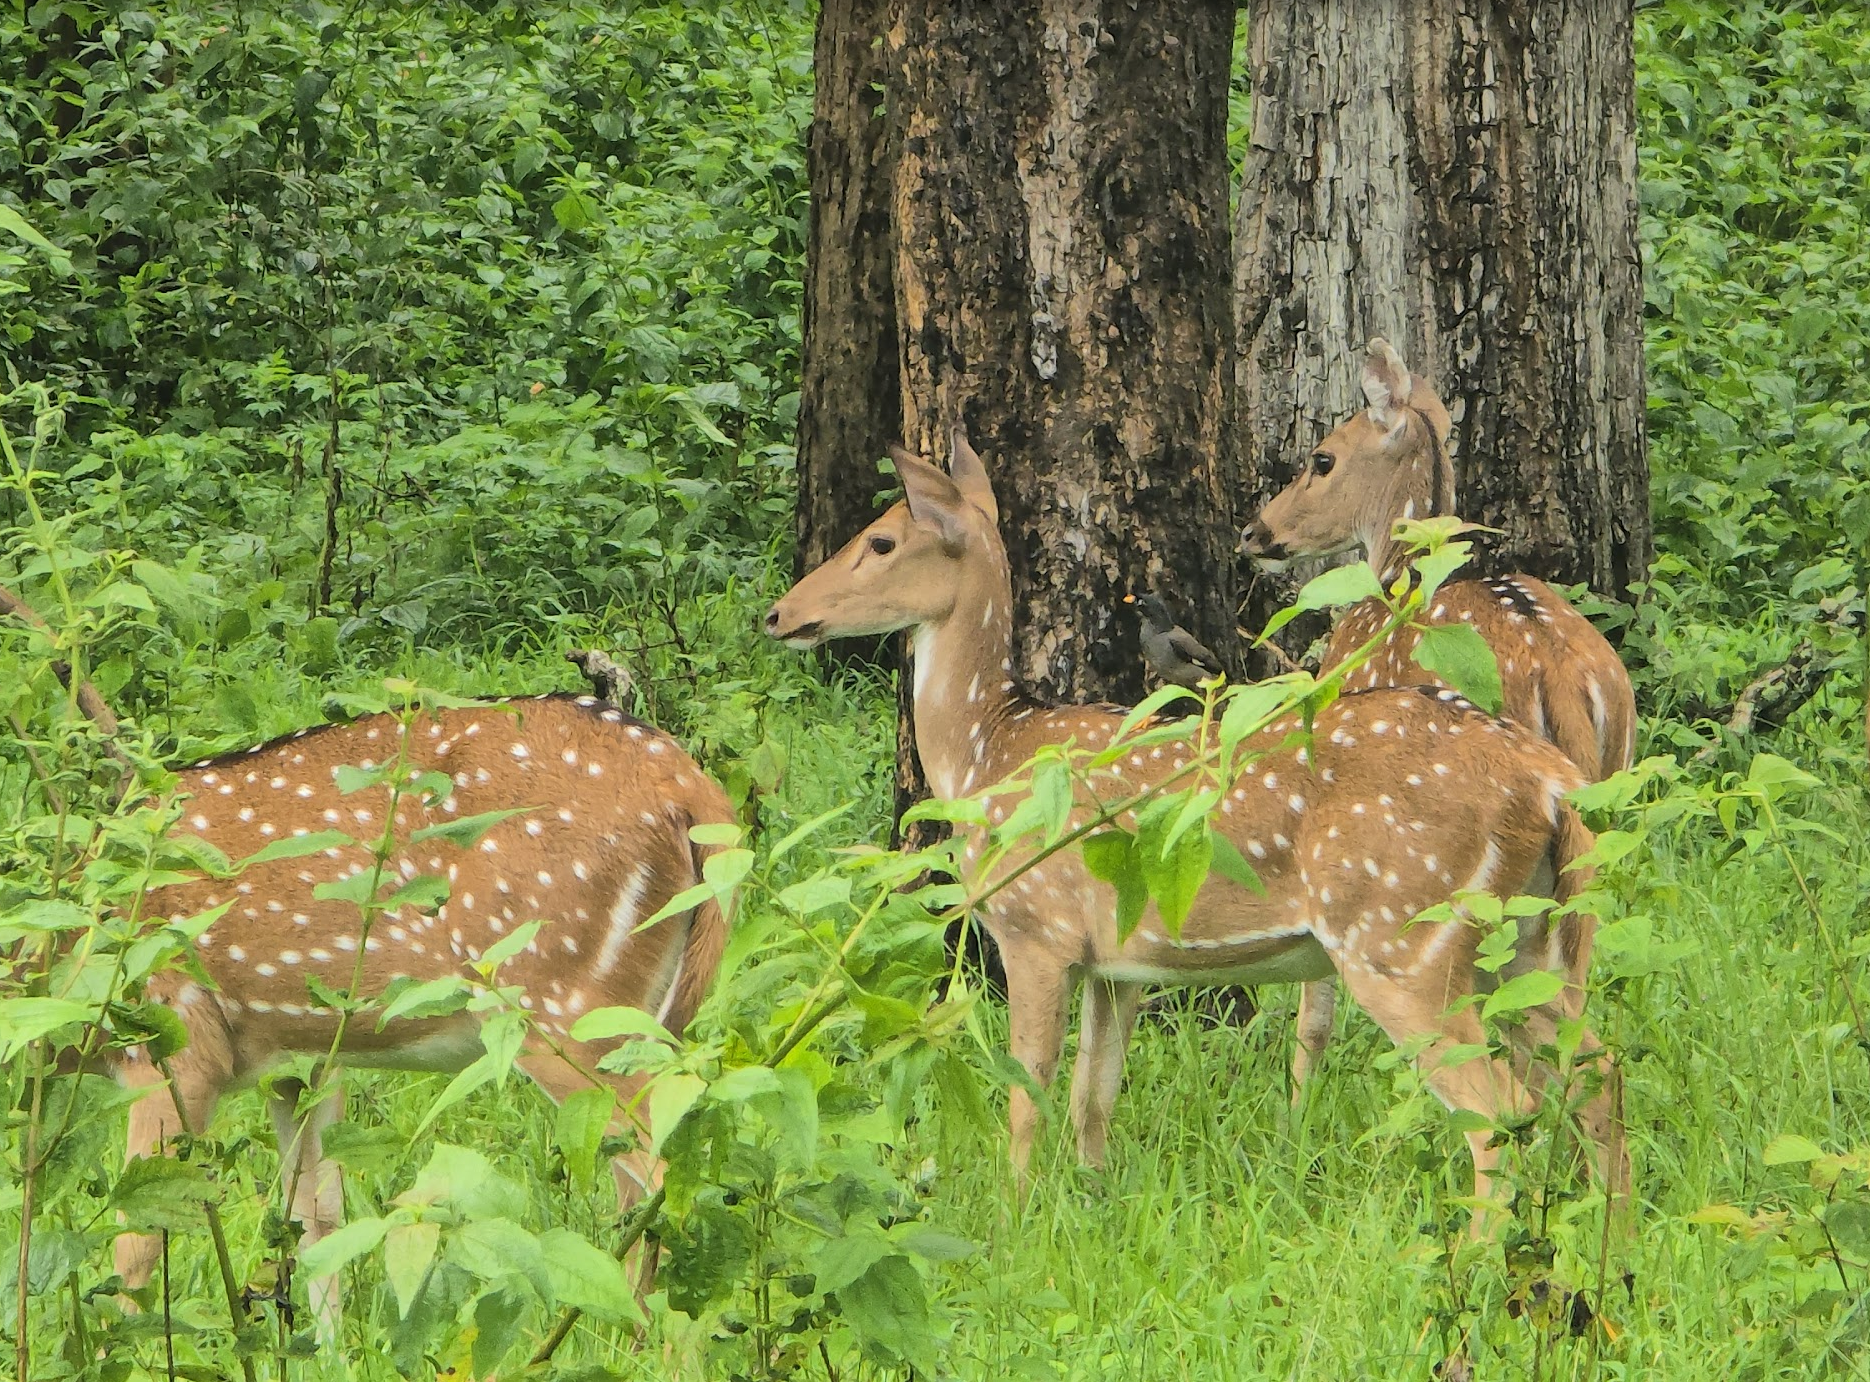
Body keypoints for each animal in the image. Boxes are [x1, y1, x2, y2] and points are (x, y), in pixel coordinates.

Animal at [115, 692, 735, 1339]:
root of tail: (688, 784)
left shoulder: (174, 1040)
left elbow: (138, 1231)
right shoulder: (301, 1059)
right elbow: (316, 1215)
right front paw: (334, 1348)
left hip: (559, 998)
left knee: (657, 1178)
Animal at [764, 431, 1627, 1214]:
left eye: (880, 540)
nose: (779, 613)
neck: (987, 755)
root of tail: (1548, 783)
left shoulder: (1035, 929)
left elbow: (1025, 1096)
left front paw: (1014, 1222)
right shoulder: (1117, 964)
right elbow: (1093, 1098)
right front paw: (1092, 1204)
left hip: (1402, 936)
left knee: (1502, 1110)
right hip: (1523, 941)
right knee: (1597, 1070)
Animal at [1240, 339, 1638, 1096]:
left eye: (1322, 459)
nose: (1255, 532)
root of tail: (1561, 675)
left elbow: (1316, 1005)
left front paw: (1298, 1102)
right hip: (1603, 809)